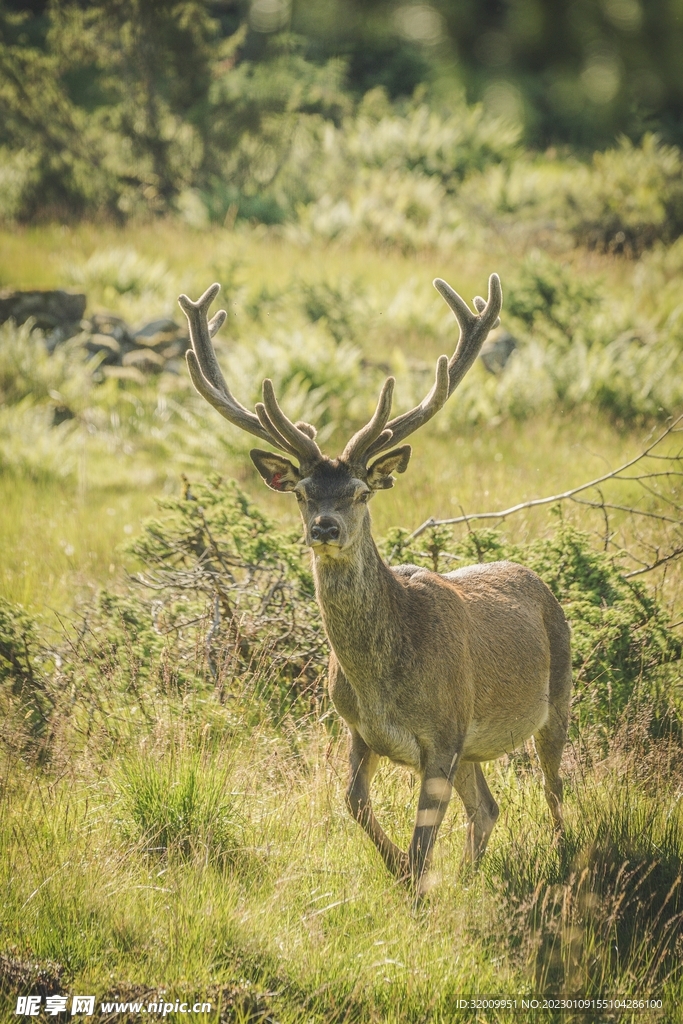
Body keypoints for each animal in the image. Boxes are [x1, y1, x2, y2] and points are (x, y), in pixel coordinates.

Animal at [178, 275, 572, 898]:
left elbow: (421, 834)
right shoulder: (359, 728)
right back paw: (468, 879)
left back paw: (566, 860)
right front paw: (407, 877)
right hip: (474, 749)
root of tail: (539, 582)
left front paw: (416, 888)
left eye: (361, 491)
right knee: (488, 808)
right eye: (302, 492)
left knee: (555, 789)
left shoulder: (443, 732)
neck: (383, 678)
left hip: (557, 699)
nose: (325, 527)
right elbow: (354, 801)